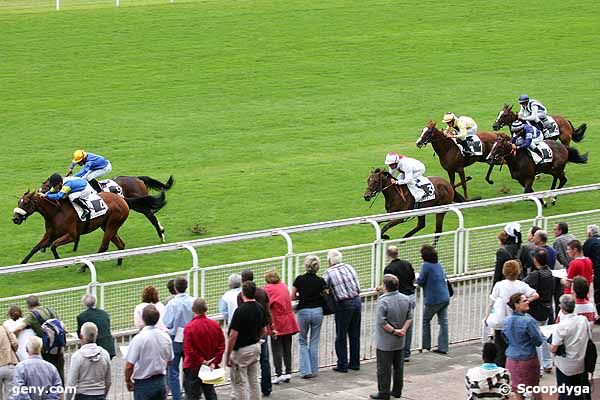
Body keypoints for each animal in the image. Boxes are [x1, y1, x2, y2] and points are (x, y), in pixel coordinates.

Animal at [12, 190, 165, 268]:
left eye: (25, 203)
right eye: (19, 202)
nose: (15, 219)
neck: (56, 212)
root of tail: (123, 199)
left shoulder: (72, 235)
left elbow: (53, 246)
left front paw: (62, 263)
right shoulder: (50, 234)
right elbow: (35, 248)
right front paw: (21, 265)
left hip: (112, 224)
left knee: (103, 246)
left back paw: (84, 267)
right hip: (108, 226)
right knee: (120, 244)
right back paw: (119, 261)